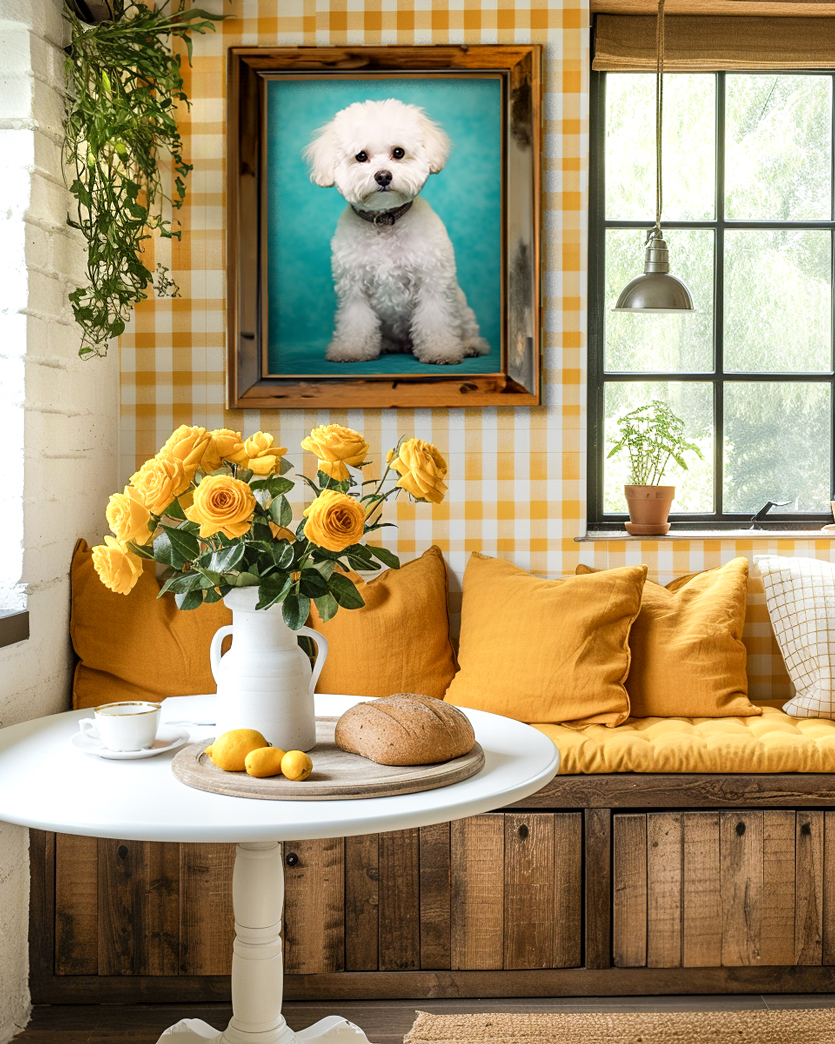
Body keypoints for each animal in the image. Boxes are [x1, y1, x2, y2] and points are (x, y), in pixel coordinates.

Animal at [304, 97, 488, 367]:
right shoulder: (354, 289)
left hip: (461, 307)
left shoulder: (433, 284)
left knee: (468, 329)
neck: (384, 221)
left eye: (398, 152)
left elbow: (435, 320)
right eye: (361, 156)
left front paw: (440, 351)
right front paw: (352, 350)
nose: (383, 176)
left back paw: (470, 345)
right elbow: (355, 321)